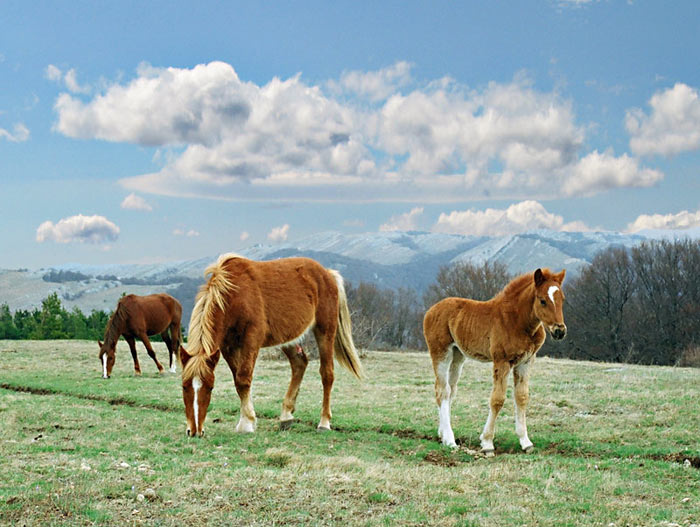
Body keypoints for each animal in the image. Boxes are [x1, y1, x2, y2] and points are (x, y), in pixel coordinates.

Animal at [179, 253, 364, 437]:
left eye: (210, 388)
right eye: (184, 386)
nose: (194, 431)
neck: (234, 295)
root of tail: (327, 274)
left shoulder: (251, 341)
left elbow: (243, 379)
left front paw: (246, 424)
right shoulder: (227, 348)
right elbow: (238, 380)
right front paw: (248, 418)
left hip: (325, 331)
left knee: (327, 374)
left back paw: (324, 422)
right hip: (287, 337)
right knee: (299, 364)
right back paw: (286, 416)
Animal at [423, 268, 567, 454]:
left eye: (562, 299)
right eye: (542, 300)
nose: (559, 331)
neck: (517, 321)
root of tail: (431, 310)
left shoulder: (526, 361)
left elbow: (521, 397)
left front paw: (525, 441)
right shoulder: (502, 361)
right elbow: (497, 399)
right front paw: (487, 443)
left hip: (457, 355)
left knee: (450, 389)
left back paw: (441, 433)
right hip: (441, 353)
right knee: (442, 390)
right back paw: (449, 440)